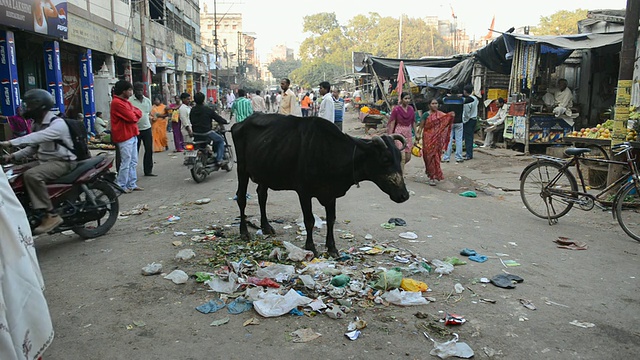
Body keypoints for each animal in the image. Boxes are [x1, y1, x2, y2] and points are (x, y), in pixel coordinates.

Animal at [231, 114, 410, 258]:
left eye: (399, 157)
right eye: (385, 159)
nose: (404, 195)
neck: (331, 152)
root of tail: (240, 123)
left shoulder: (331, 194)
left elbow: (331, 220)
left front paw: (332, 248)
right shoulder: (304, 192)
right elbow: (309, 220)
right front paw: (310, 247)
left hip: (265, 173)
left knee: (262, 196)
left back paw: (266, 226)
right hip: (242, 169)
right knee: (241, 198)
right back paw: (244, 232)